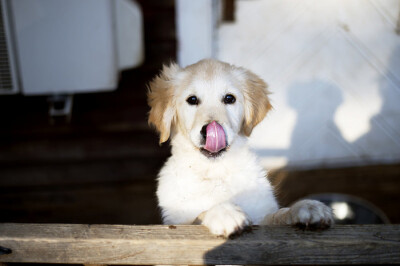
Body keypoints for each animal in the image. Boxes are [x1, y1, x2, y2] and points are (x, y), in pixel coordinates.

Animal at [148, 58, 332, 237]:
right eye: (192, 100)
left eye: (229, 98)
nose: (210, 131)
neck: (215, 171)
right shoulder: (177, 222)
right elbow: (199, 216)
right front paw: (223, 212)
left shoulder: (261, 216)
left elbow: (277, 215)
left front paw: (305, 207)